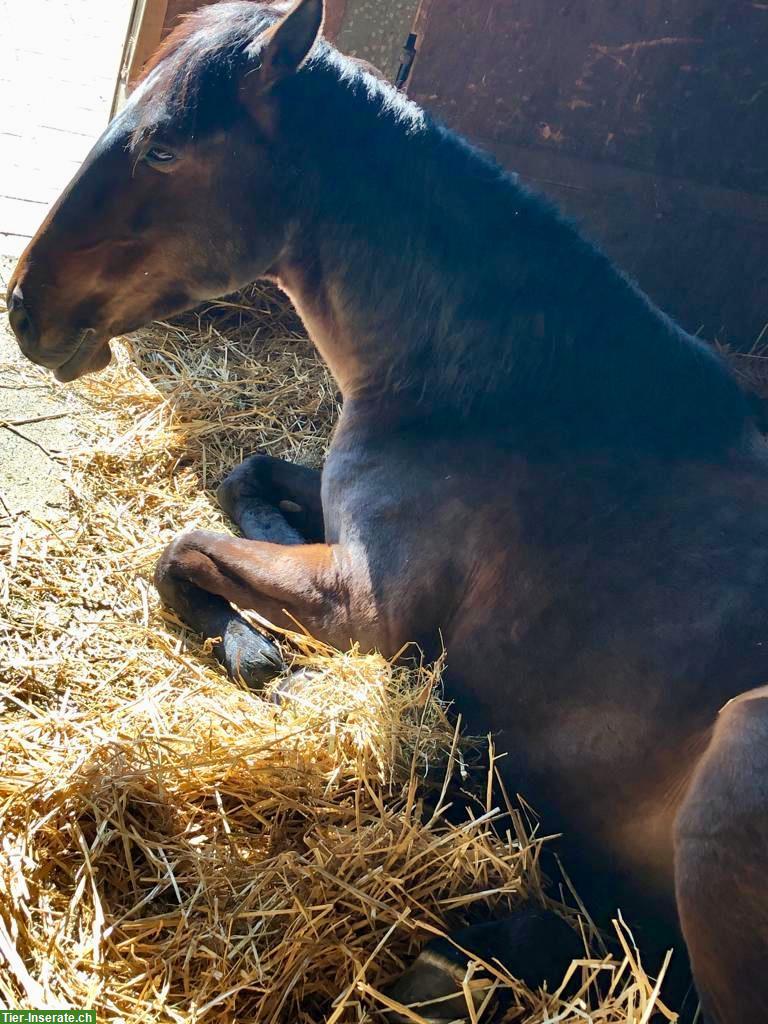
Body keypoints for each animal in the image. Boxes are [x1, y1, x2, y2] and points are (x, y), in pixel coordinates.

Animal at [6, 4, 768, 1019]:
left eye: (163, 147)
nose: (24, 310)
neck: (497, 391)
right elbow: (243, 481)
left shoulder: (364, 610)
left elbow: (182, 549)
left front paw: (267, 660)